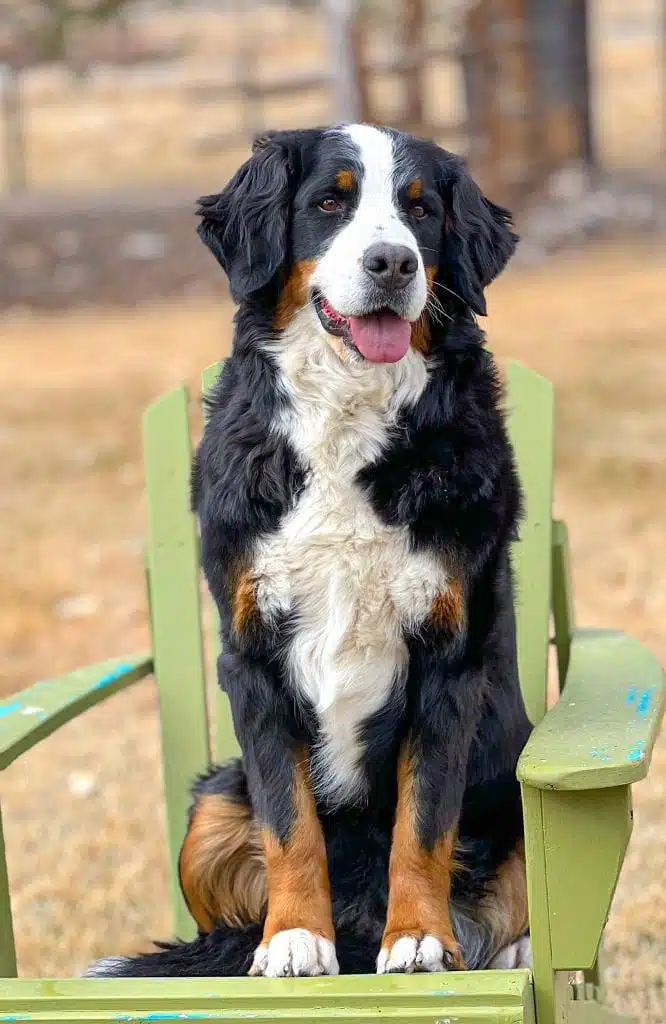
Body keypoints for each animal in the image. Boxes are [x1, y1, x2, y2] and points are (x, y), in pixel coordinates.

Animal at [89, 123, 532, 978]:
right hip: (210, 804)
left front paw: (417, 936)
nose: (393, 263)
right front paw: (295, 937)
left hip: (513, 792)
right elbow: (289, 822)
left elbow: (425, 820)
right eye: (331, 202)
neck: (348, 415)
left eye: (420, 211)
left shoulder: (449, 656)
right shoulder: (253, 651)